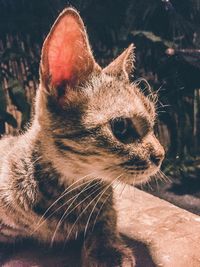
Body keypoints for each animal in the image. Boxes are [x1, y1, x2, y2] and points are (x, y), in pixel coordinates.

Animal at [0, 7, 164, 267]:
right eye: (121, 127)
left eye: (152, 121)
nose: (161, 155)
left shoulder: (107, 208)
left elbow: (104, 225)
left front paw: (108, 252)